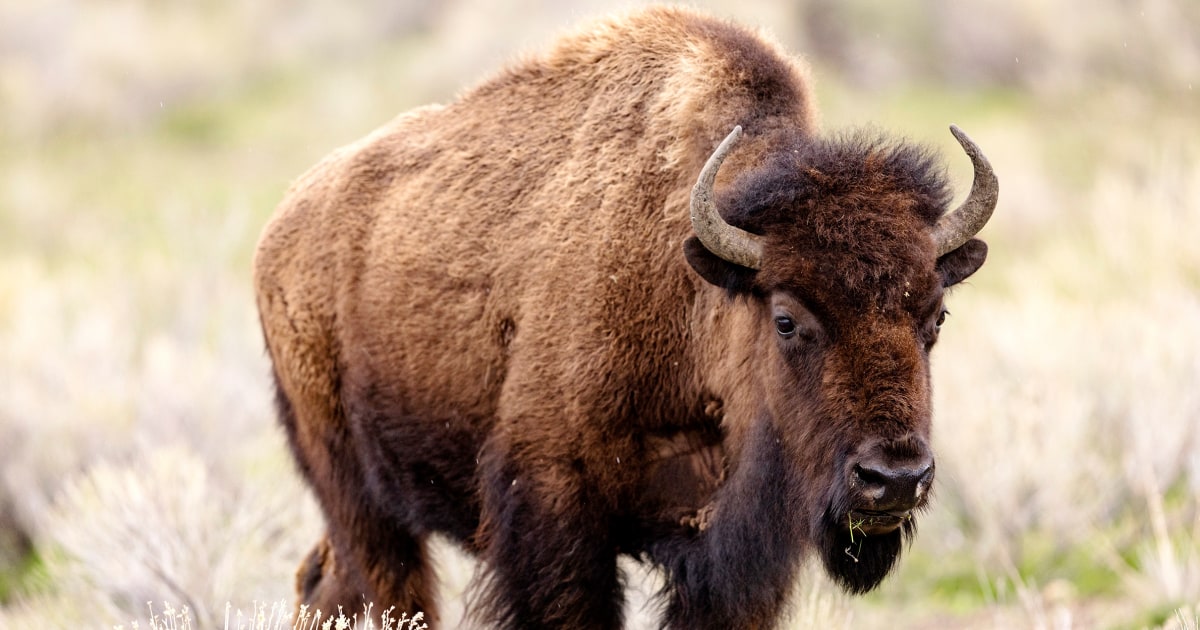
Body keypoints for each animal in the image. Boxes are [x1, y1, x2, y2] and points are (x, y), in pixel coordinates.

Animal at [253, 6, 997, 629]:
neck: (694, 305)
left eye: (936, 317)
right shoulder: (555, 520)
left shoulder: (733, 561)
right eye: (786, 319)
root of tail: (282, 228)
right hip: (359, 494)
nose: (894, 479)